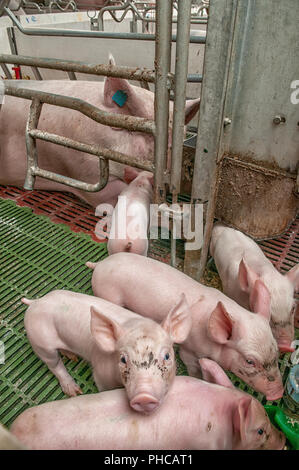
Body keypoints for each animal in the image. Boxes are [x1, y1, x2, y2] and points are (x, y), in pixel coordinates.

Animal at [22, 288, 192, 414]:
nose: (144, 396)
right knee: (54, 364)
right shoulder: (100, 374)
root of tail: (36, 302)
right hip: (40, 342)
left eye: (167, 356)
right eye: (123, 359)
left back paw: (72, 357)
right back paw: (74, 391)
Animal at [87, 253, 286, 400]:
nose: (278, 393)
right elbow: (191, 365)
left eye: (276, 351)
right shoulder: (189, 349)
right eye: (250, 361)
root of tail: (100, 264)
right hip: (107, 293)